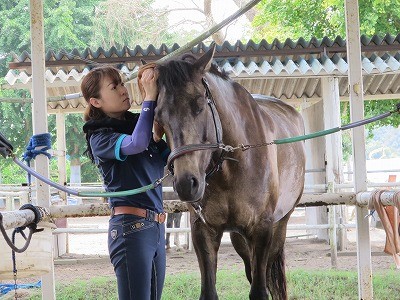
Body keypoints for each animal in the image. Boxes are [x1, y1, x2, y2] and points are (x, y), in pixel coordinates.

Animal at [153, 45, 306, 300]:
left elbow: (260, 291)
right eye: (159, 116)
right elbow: (209, 291)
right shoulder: (203, 232)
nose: (186, 184)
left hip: (280, 226)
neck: (231, 170)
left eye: (199, 105)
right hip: (239, 238)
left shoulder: (262, 230)